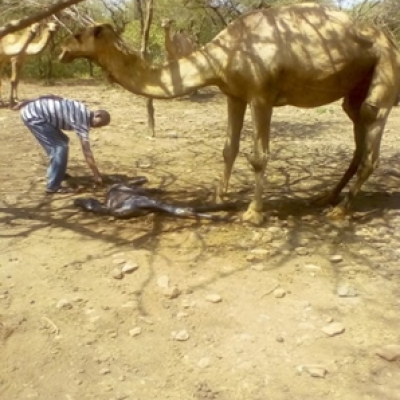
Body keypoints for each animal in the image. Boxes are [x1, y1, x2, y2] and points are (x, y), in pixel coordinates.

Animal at [57, 3, 400, 225]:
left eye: (80, 34)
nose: (61, 49)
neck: (223, 54)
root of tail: (389, 38)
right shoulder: (234, 94)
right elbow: (229, 148)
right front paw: (219, 199)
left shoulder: (261, 95)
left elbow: (258, 156)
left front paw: (253, 213)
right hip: (355, 87)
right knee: (357, 131)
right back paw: (326, 198)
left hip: (385, 68)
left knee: (371, 127)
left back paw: (342, 210)